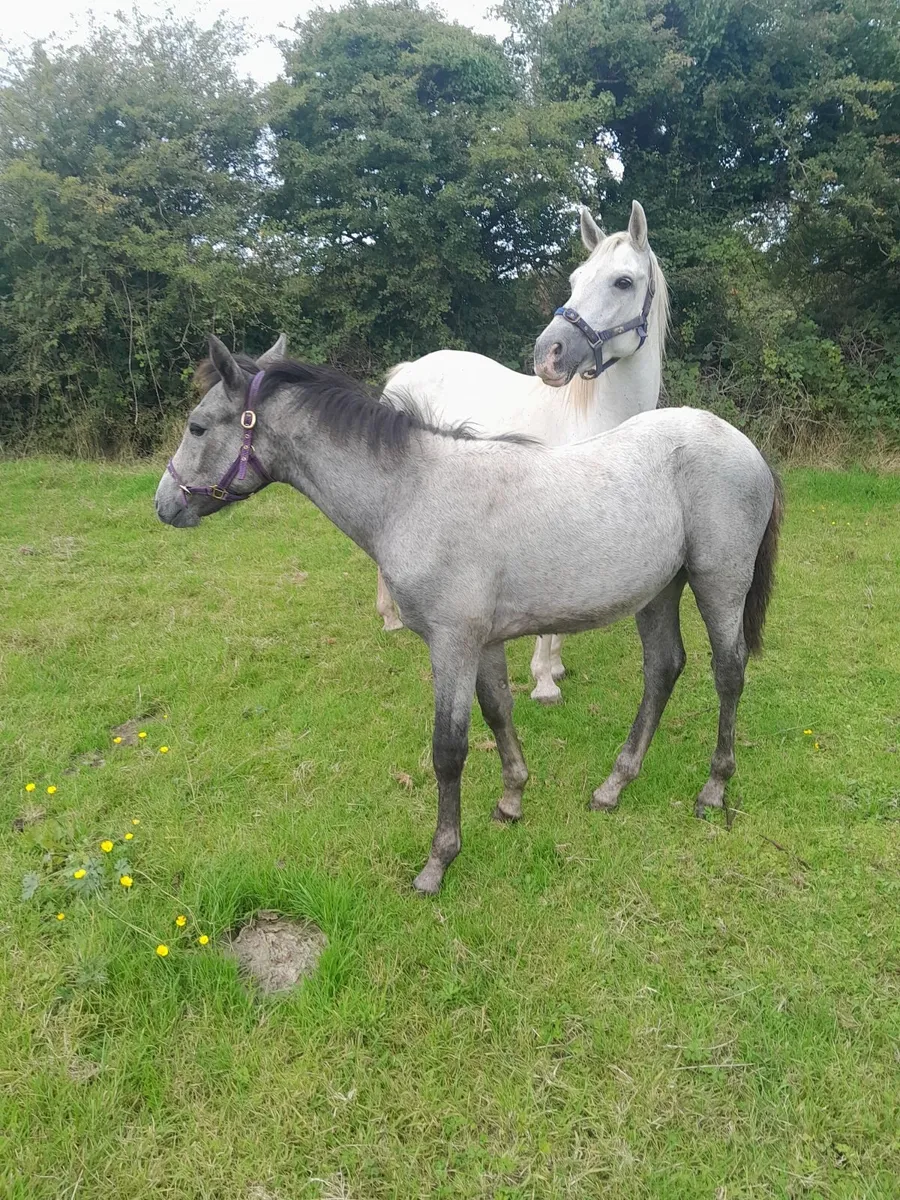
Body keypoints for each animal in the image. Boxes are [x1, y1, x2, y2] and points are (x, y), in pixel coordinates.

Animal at [155, 335, 782, 895]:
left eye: (197, 426)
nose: (164, 504)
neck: (412, 494)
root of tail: (744, 446)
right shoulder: (484, 642)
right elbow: (498, 711)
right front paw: (511, 800)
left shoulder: (451, 643)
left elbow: (448, 750)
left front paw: (438, 862)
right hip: (658, 591)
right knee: (663, 668)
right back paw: (613, 786)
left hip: (718, 582)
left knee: (728, 673)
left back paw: (712, 790)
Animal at [378, 200, 670, 705]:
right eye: (575, 279)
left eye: (623, 281)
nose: (548, 354)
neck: (595, 416)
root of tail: (408, 369)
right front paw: (543, 680)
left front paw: (555, 667)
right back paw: (389, 616)